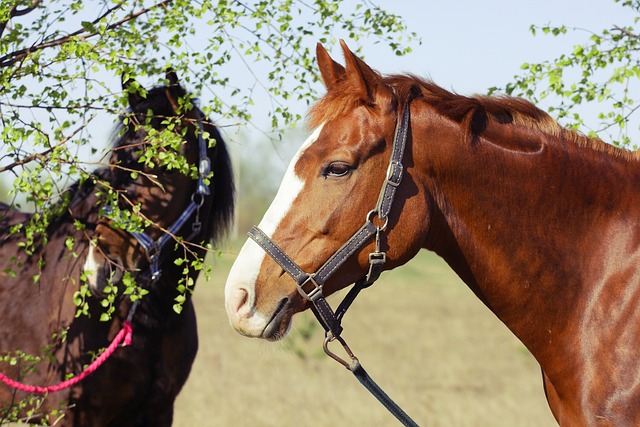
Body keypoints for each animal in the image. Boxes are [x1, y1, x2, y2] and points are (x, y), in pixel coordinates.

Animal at [0, 72, 235, 426]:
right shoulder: (65, 413)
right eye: (114, 162)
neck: (150, 322)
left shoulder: (159, 412)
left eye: (165, 167)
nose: (99, 267)